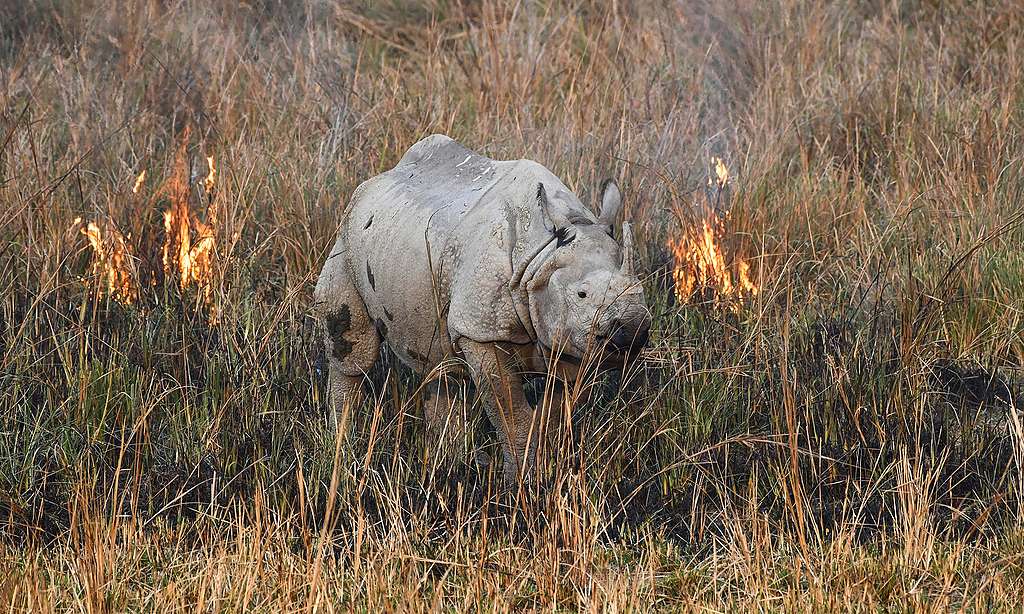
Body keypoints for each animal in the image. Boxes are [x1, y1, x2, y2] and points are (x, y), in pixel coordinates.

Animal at [313, 134, 647, 485]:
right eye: (582, 294)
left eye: (640, 290)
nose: (633, 329)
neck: (541, 253)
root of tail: (375, 181)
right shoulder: (480, 330)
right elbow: (511, 410)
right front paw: (521, 484)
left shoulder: (568, 341)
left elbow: (554, 414)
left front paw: (543, 471)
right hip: (347, 239)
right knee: (354, 352)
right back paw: (342, 448)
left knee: (441, 366)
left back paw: (449, 468)